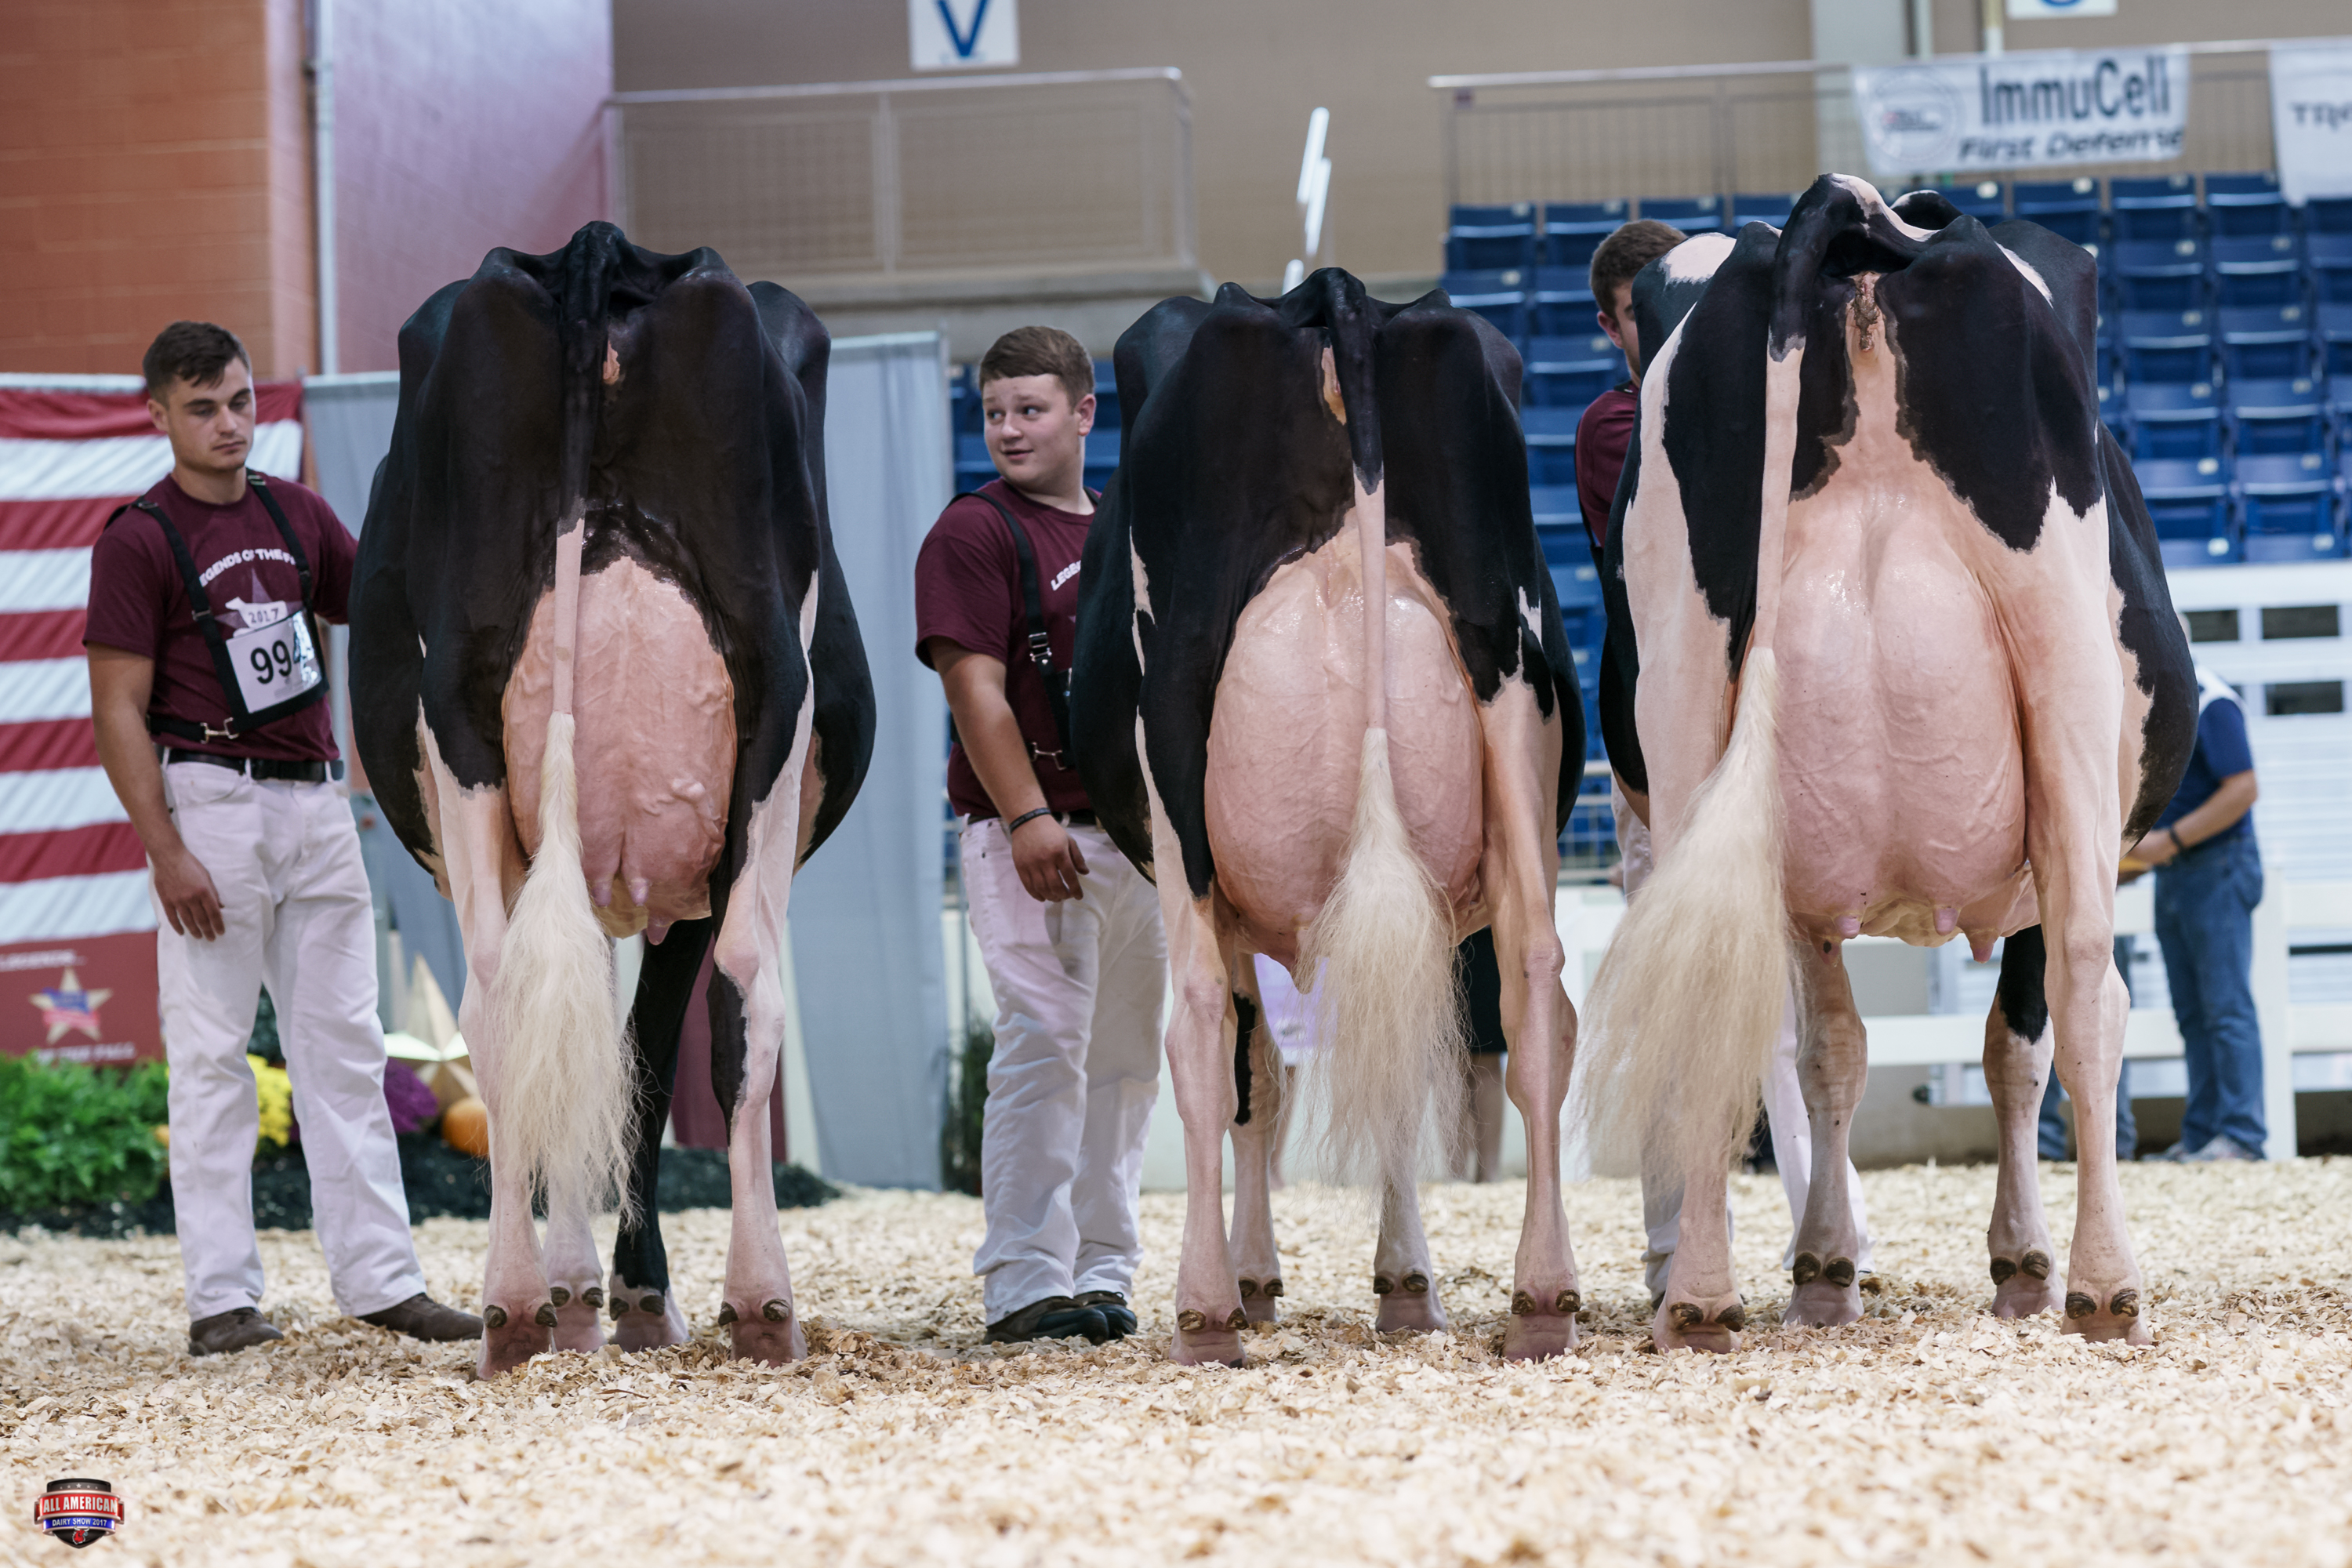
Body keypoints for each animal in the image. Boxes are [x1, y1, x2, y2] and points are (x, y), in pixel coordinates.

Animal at [351, 222, 874, 1377]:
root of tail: (599, 247)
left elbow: (585, 1045)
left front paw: (577, 1292)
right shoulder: (692, 883)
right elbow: (645, 1051)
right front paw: (627, 1294)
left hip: (461, 717)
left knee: (500, 994)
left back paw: (511, 1307)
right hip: (772, 719)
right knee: (743, 996)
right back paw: (759, 1304)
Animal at [1071, 268, 1587, 1365]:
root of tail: (1332, 295)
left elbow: (1255, 1074)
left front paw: (1258, 1278)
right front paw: (1406, 1284)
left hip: (1173, 738)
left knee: (1197, 1025)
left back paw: (1205, 1309)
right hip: (1513, 698)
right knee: (1535, 990)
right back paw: (1542, 1296)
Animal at [1580, 176, 2195, 1352]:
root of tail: (1855, 215)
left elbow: (1833, 1046)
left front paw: (1825, 1265)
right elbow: (2015, 1047)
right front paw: (2021, 1257)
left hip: (1689, 691)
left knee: (1706, 992)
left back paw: (1701, 1295)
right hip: (2066, 683)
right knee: (2089, 984)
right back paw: (2108, 1284)